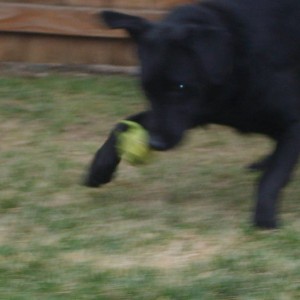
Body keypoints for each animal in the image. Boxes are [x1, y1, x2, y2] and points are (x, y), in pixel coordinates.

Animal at [85, 0, 300, 229]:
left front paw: (265, 216)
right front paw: (100, 168)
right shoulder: (191, 115)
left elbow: (274, 175)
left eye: (180, 86)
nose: (155, 143)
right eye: (146, 89)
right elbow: (124, 123)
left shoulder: (293, 122)